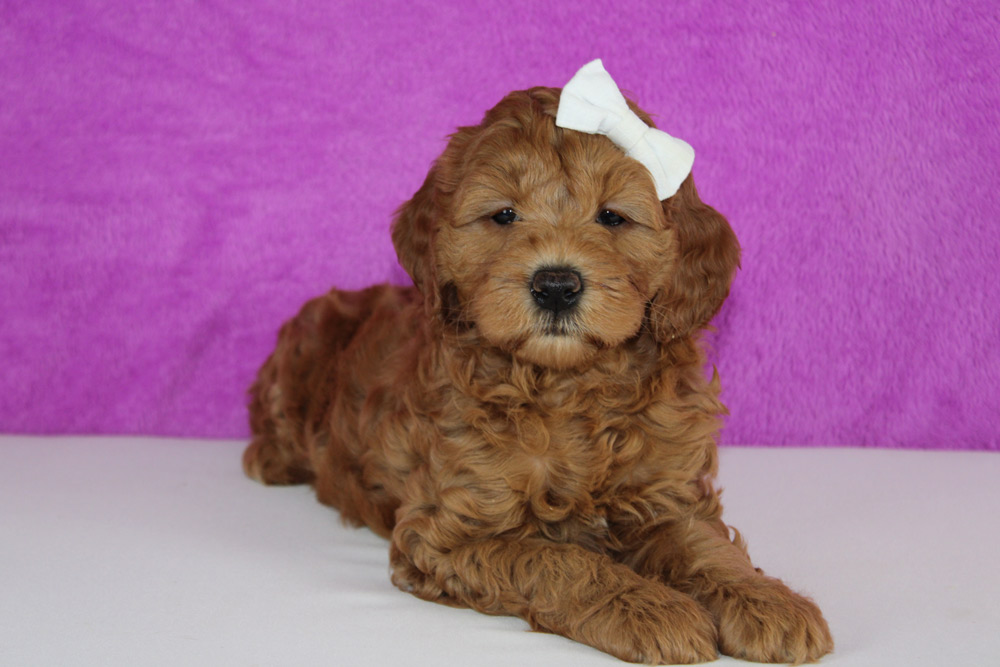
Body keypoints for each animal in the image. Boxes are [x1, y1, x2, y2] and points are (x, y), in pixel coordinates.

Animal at [243, 64, 833, 664]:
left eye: (612, 217)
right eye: (504, 214)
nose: (555, 285)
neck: (566, 386)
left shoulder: (667, 491)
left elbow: (706, 548)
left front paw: (766, 601)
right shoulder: (452, 530)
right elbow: (562, 562)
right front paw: (653, 609)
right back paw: (272, 459)